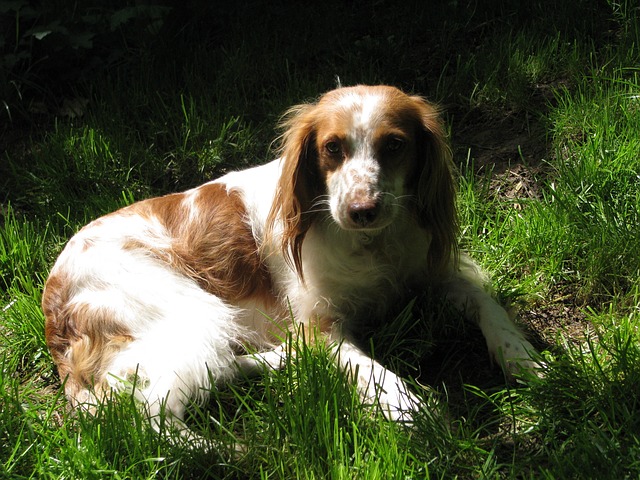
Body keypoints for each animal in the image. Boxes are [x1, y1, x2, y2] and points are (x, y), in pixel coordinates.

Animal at [42, 84, 536, 426]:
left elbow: (493, 311)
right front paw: (414, 410)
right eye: (332, 148)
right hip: (190, 310)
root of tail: (52, 292)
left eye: (394, 145)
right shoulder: (320, 326)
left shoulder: (440, 273)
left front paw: (527, 360)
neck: (374, 246)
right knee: (147, 415)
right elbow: (375, 372)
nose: (362, 210)